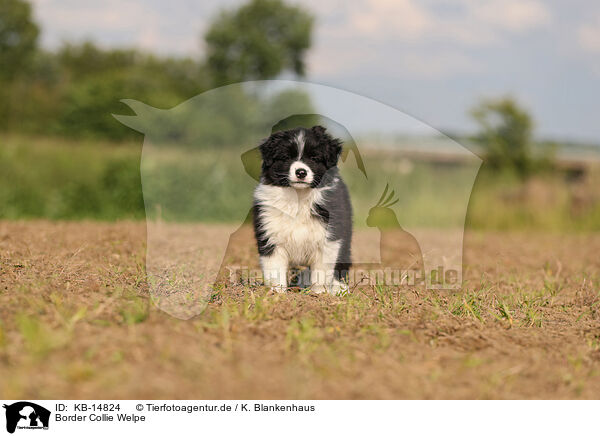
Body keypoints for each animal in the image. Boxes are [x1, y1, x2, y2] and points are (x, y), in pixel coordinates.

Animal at [252, 126, 352, 294]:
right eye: (286, 157)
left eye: (314, 158)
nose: (300, 172)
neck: (298, 198)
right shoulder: (270, 235)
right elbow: (275, 269)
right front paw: (276, 294)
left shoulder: (328, 238)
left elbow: (322, 271)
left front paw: (319, 294)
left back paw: (339, 288)